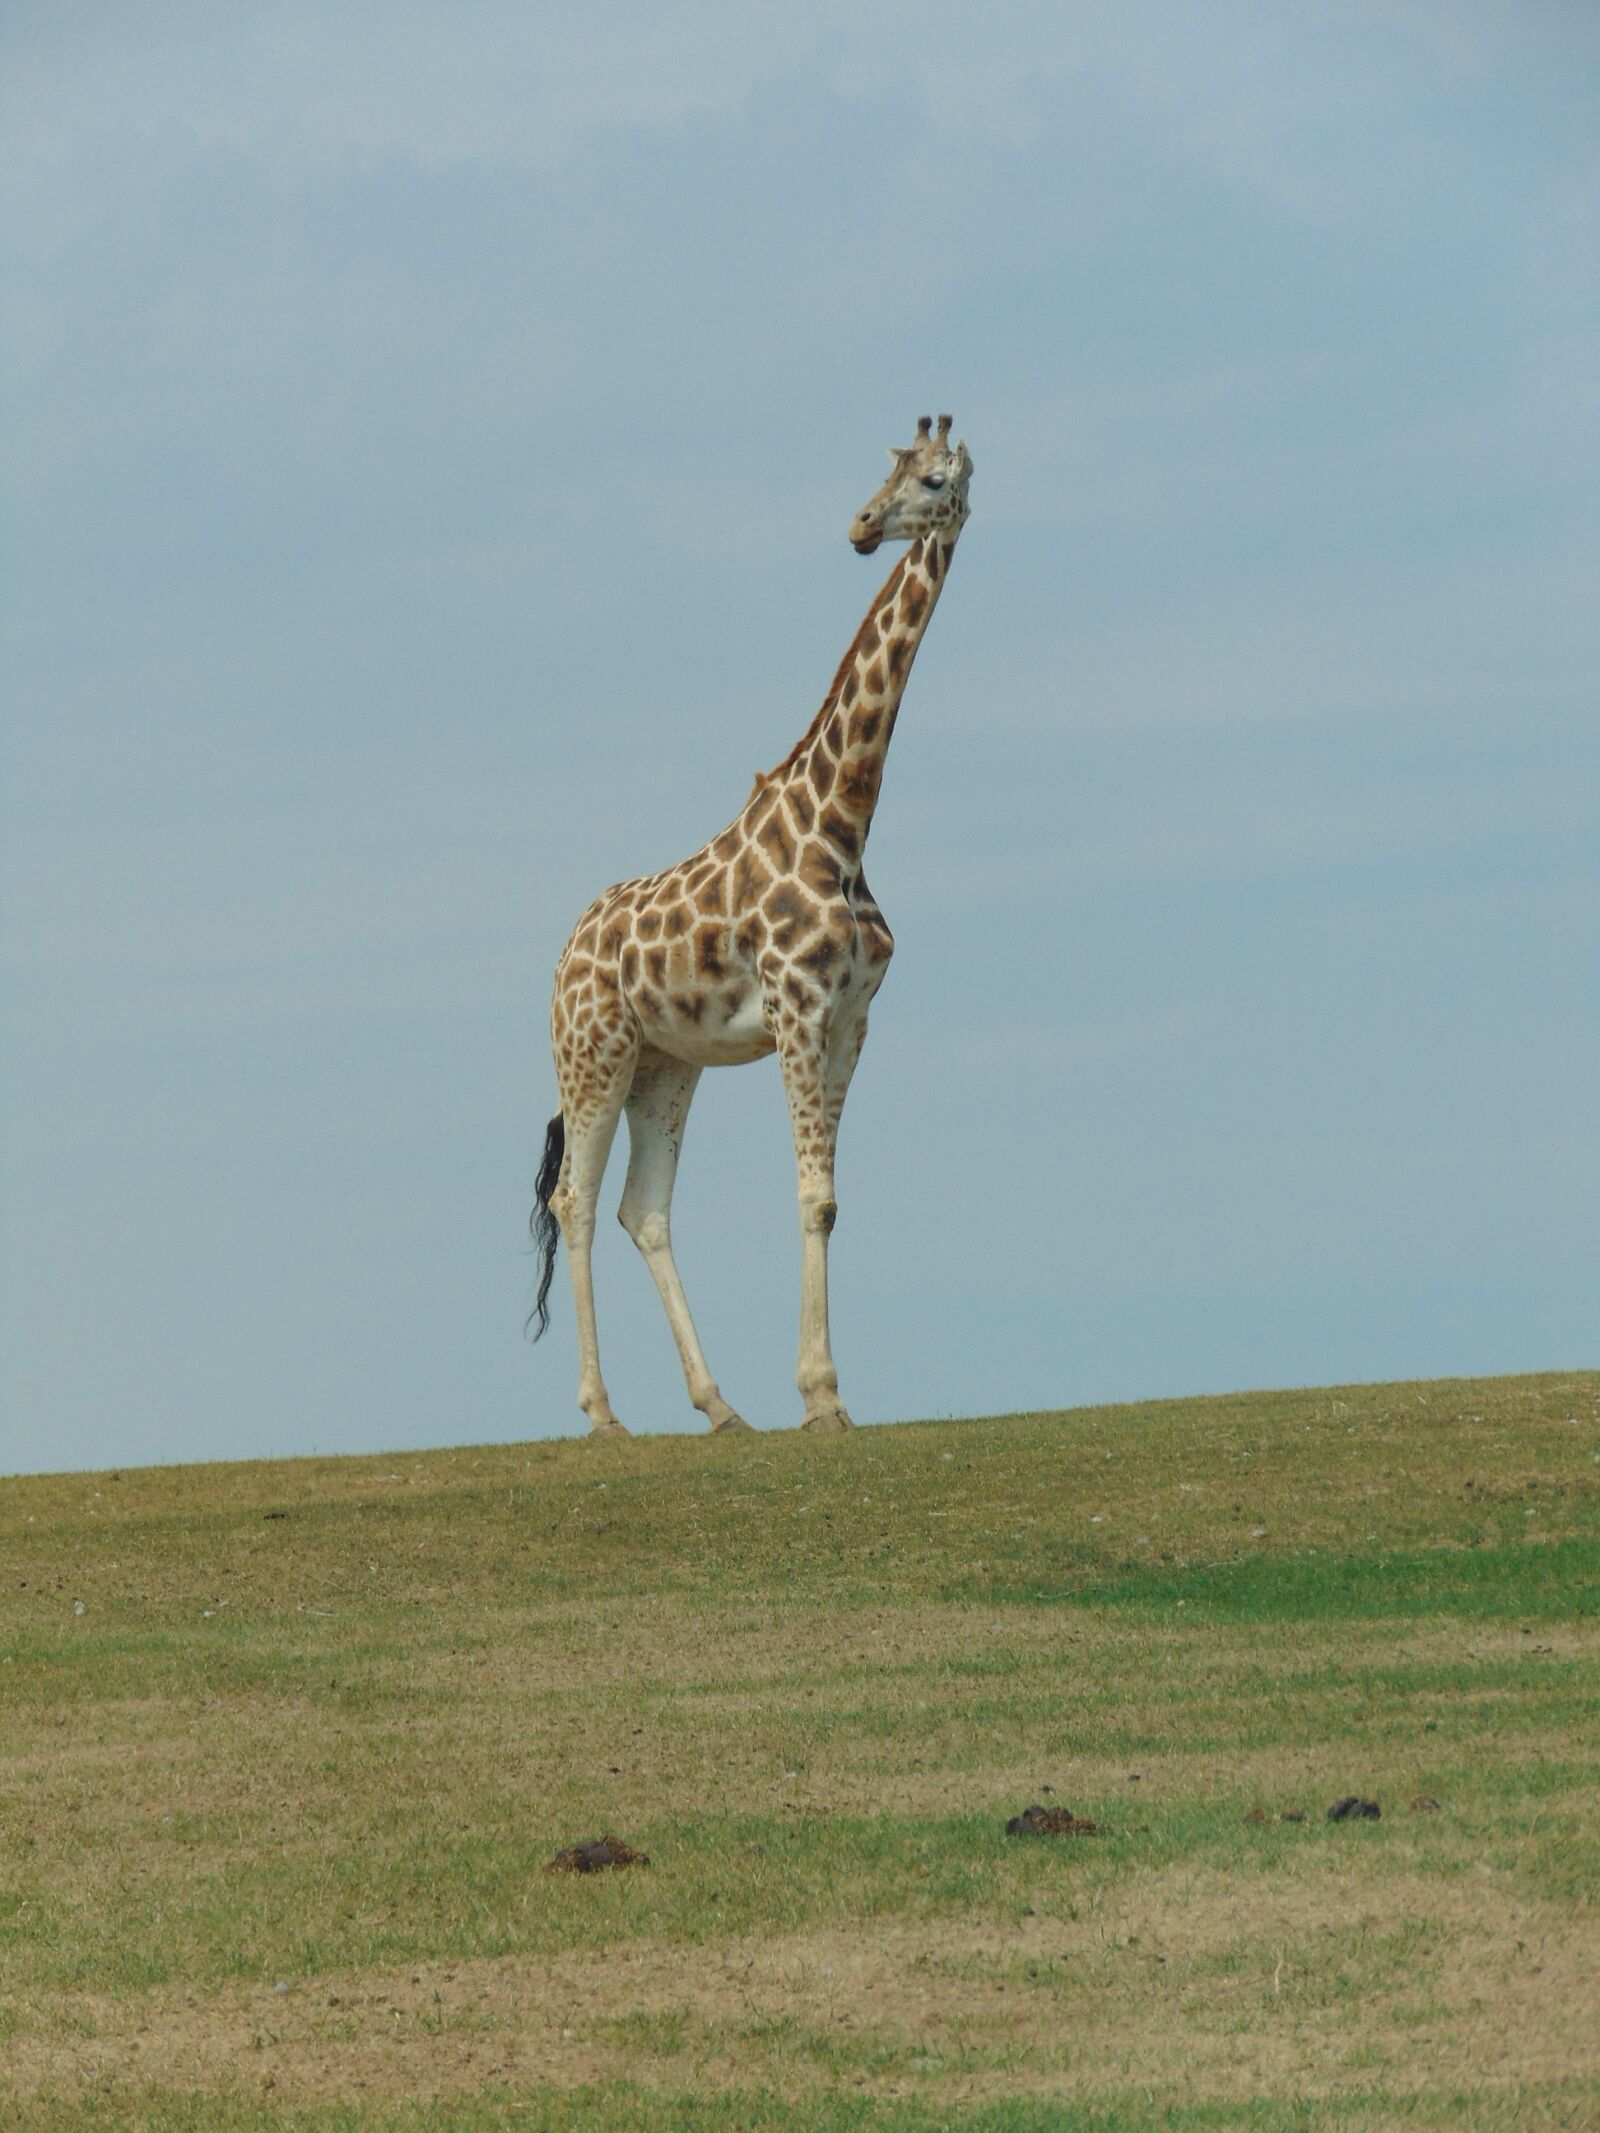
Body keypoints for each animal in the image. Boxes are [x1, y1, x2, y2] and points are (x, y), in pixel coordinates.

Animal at [533, 407, 972, 1441]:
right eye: (892, 474)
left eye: (934, 481)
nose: (860, 526)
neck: (841, 820)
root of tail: (562, 956)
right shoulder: (798, 1007)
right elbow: (813, 1194)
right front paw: (822, 1394)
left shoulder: (852, 1019)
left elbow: (827, 1200)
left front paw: (820, 1392)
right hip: (594, 1053)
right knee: (574, 1202)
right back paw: (603, 1412)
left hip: (666, 1063)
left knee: (641, 1209)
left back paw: (720, 1404)